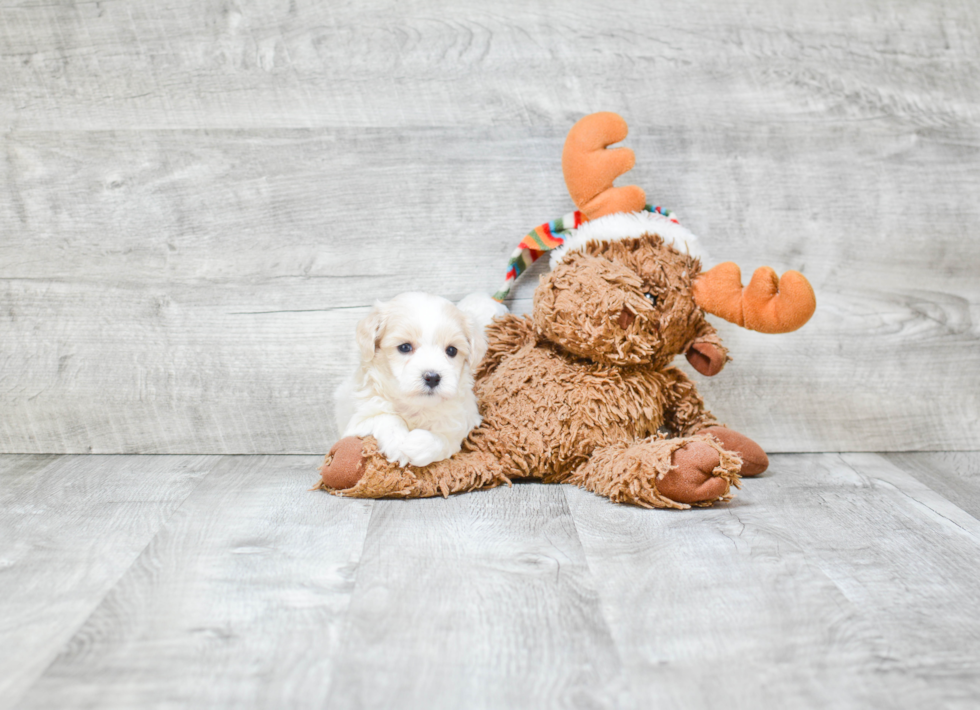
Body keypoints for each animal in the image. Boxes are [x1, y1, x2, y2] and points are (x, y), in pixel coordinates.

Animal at [336, 292, 506, 470]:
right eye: (404, 347)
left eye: (451, 350)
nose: (432, 377)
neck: (416, 407)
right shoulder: (356, 423)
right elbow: (385, 417)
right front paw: (398, 442)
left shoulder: (458, 429)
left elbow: (444, 441)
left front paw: (417, 444)